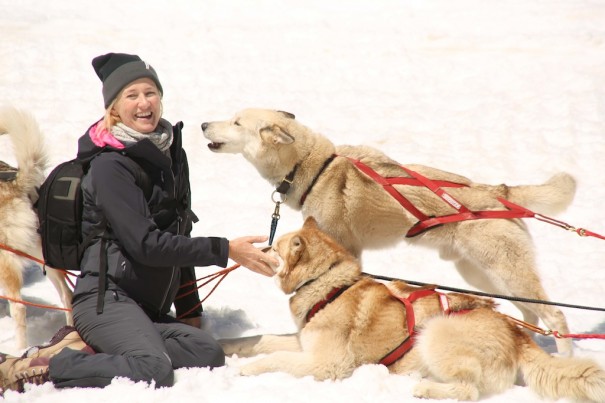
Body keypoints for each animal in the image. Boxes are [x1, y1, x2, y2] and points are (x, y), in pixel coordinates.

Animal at [221, 219, 604, 402]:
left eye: (276, 248)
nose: (262, 247)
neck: (328, 282)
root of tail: (516, 334)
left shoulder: (326, 362)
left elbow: (275, 359)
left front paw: (246, 369)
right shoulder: (303, 340)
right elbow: (263, 340)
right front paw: (228, 348)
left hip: (435, 334)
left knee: (469, 391)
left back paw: (425, 389)